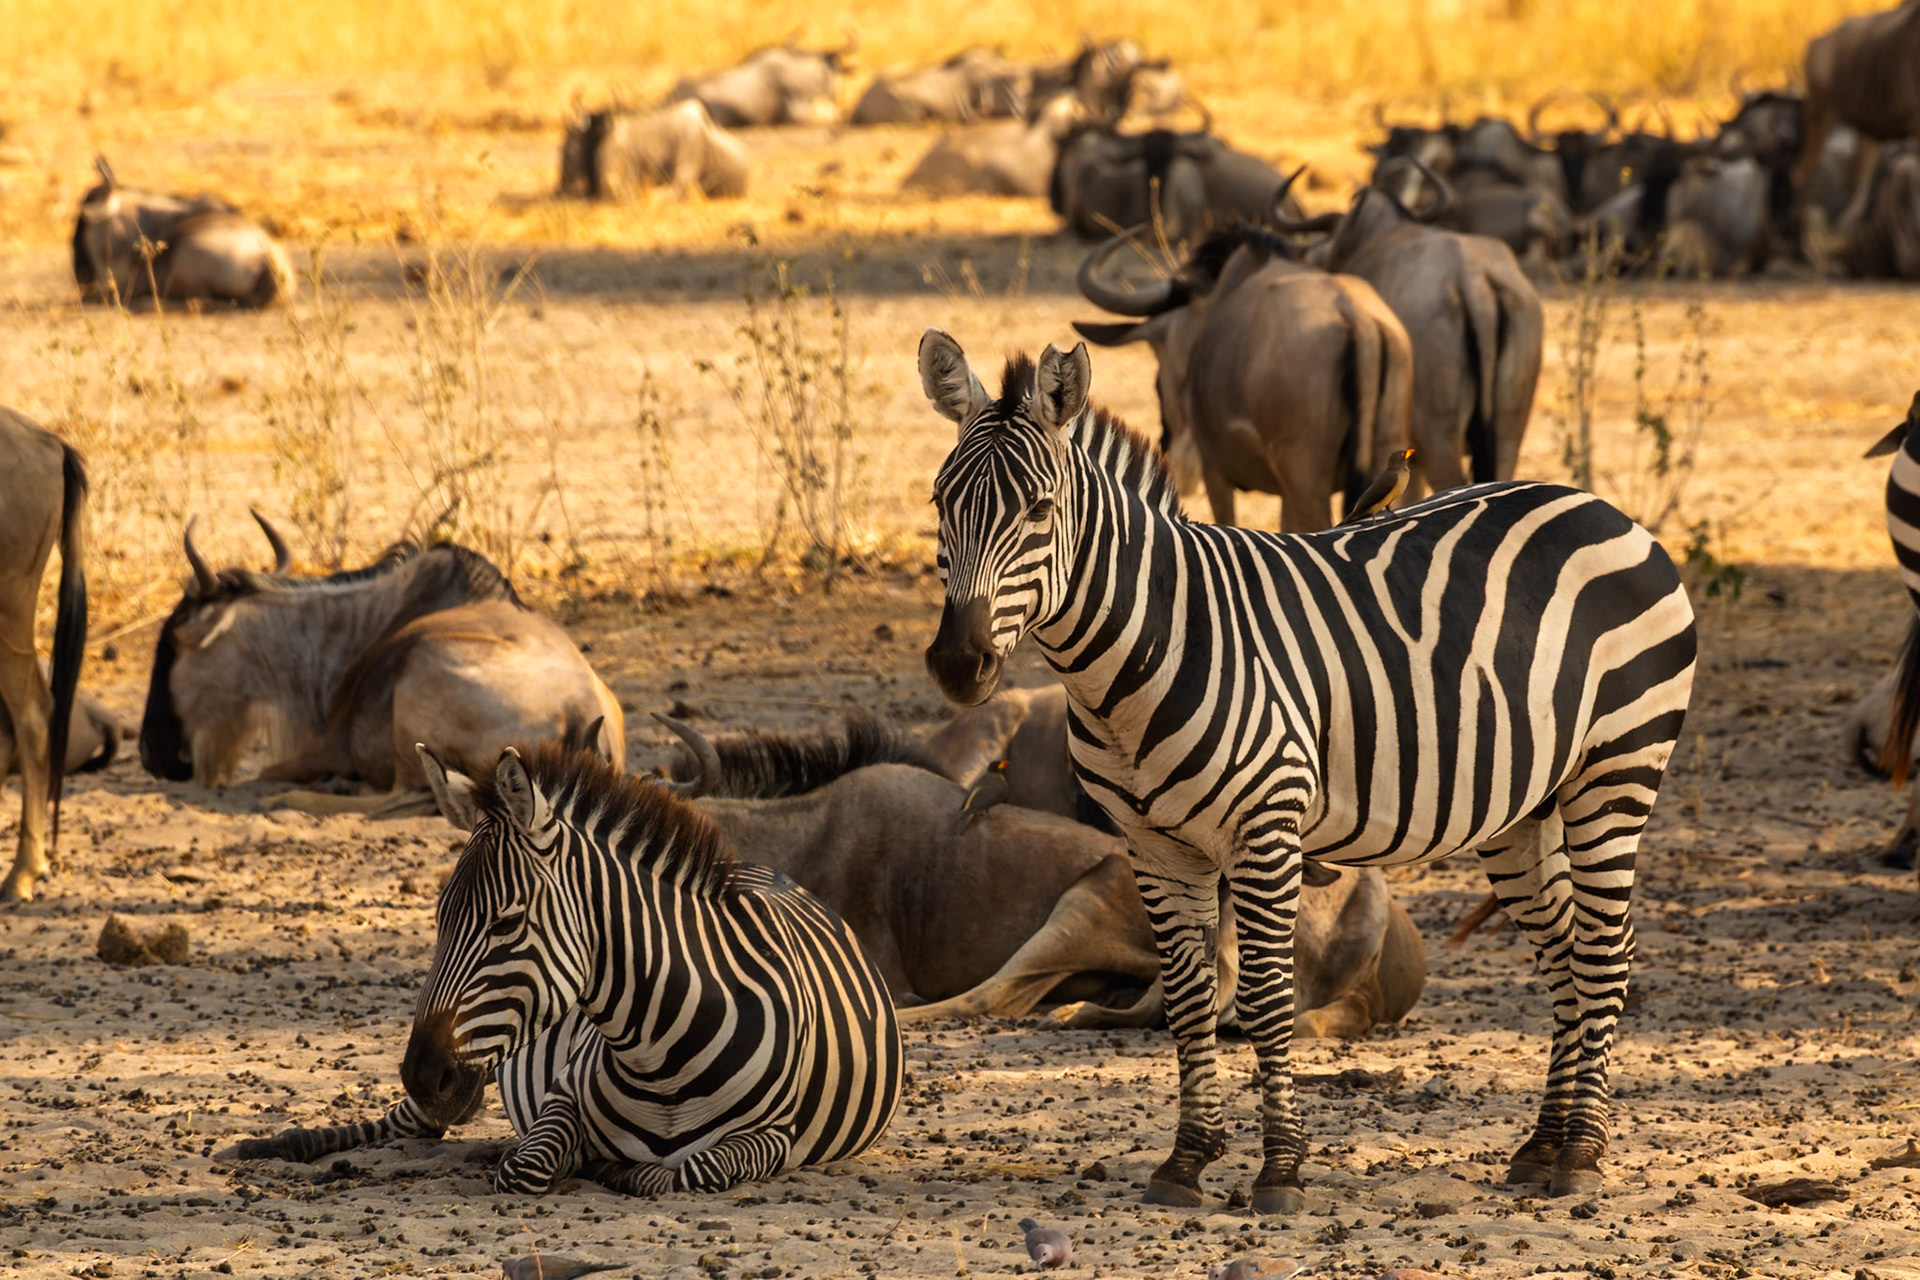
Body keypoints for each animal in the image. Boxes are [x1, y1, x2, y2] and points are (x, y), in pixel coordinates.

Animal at [237, 739, 903, 1195]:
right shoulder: (559, 1098)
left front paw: (617, 1170)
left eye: (506, 924)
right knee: (406, 1125)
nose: (424, 1076)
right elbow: (526, 1167)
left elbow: (686, 1172)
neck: (663, 1059)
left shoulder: (775, 1136)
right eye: (438, 918)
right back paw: (275, 1144)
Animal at [915, 330, 1696, 1213]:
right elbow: (1187, 999)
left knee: (1604, 951)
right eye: (941, 502)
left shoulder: (1267, 827)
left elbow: (1263, 996)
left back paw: (1583, 1154)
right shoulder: (1154, 844)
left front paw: (1280, 1169)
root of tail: (1602, 508)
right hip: (1523, 809)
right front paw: (1187, 1161)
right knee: (1565, 954)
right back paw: (1541, 1147)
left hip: (1617, 772)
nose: (959, 663)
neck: (1137, 653)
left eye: (1040, 511)